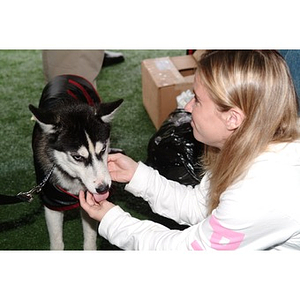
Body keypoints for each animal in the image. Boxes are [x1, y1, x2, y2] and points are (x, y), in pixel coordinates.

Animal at [29, 75, 123, 251]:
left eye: (103, 149)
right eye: (77, 157)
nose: (103, 188)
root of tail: (66, 75)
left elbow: (90, 238)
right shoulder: (52, 202)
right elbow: (57, 241)